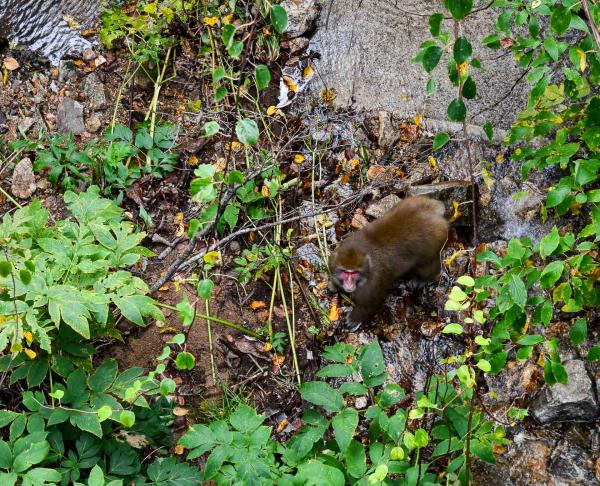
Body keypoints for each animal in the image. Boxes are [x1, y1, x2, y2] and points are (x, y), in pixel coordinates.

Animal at [328, 196, 450, 330]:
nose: (349, 285)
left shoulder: (374, 282)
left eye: (354, 273)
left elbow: (369, 304)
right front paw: (334, 284)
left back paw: (422, 279)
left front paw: (355, 318)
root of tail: (433, 210)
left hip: (434, 242)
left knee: (427, 266)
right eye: (345, 272)